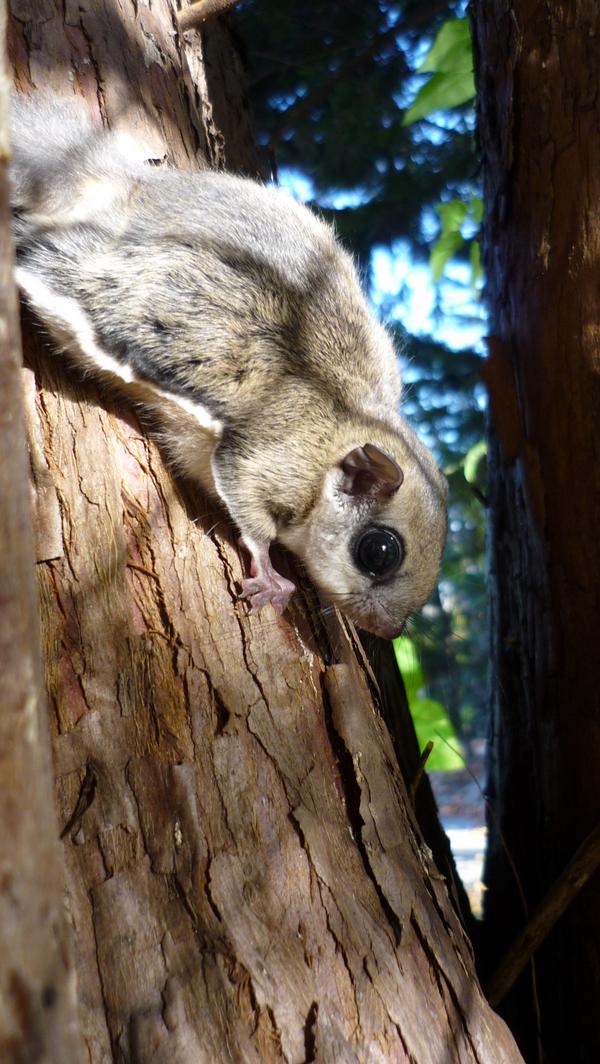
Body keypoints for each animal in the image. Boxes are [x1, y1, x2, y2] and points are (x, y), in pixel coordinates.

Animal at [9, 94, 447, 639]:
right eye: (380, 551)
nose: (389, 631)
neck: (342, 432)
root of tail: (127, 190)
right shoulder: (271, 455)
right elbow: (249, 510)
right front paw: (274, 580)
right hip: (104, 281)